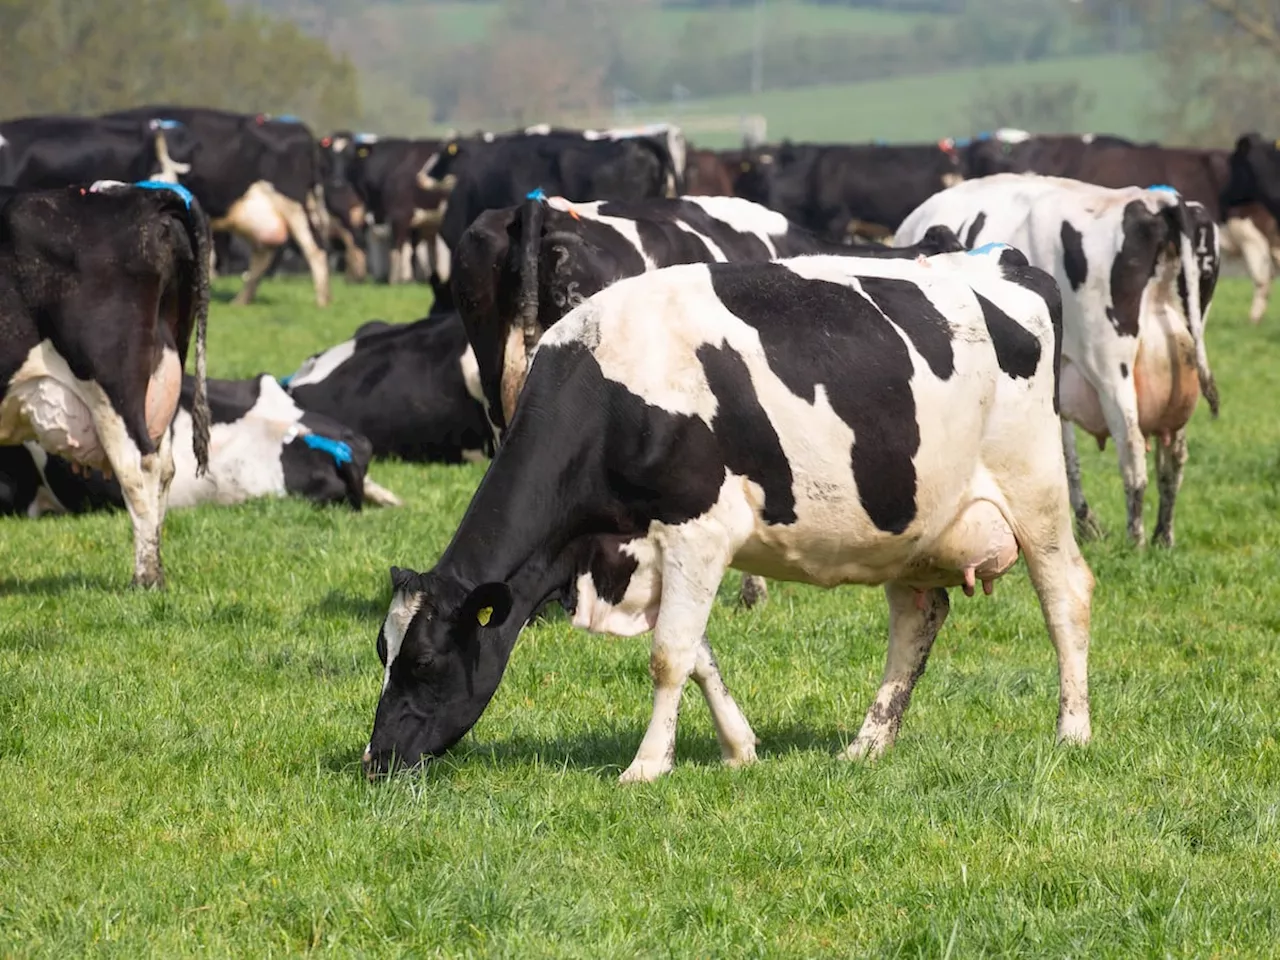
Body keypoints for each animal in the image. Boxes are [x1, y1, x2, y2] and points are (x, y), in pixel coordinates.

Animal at [0, 179, 212, 586]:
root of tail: (148, 196)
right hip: (164, 369)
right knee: (163, 467)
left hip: (112, 385)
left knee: (139, 467)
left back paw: (146, 578)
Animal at [896, 175, 1223, 547]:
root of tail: (1155, 200)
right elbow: (1066, 456)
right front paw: (1085, 522)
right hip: (1181, 363)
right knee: (1174, 459)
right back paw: (1162, 536)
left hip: (1110, 366)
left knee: (1132, 450)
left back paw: (1135, 538)